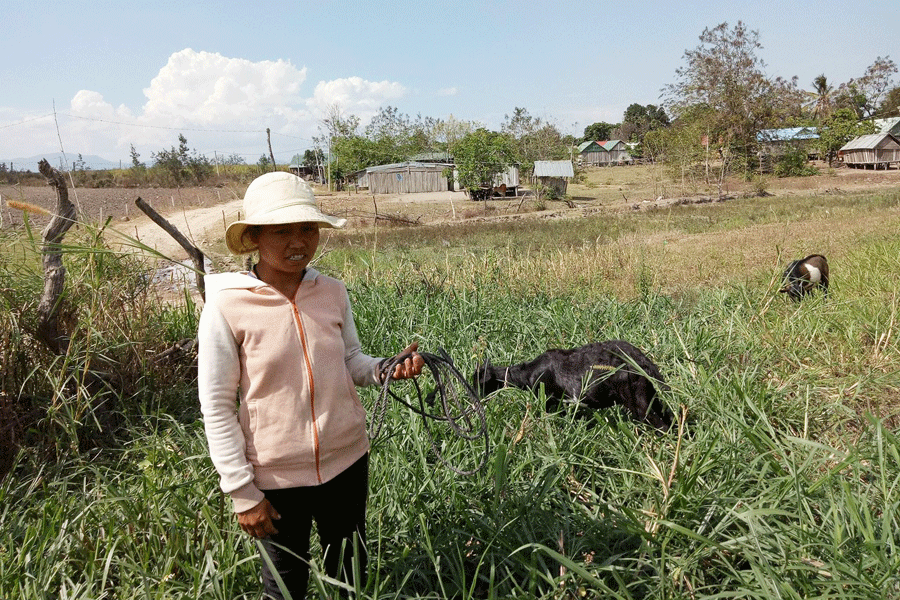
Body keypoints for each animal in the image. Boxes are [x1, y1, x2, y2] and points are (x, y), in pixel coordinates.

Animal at [474, 338, 672, 432]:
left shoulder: (549, 400)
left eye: (478, 383)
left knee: (660, 425)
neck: (528, 373)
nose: (475, 402)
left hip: (637, 400)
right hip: (651, 396)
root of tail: (644, 362)